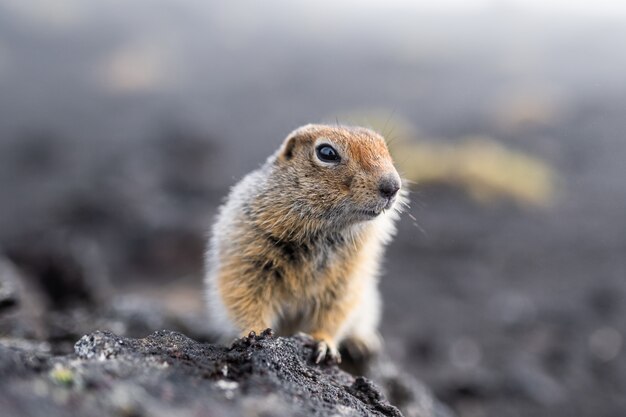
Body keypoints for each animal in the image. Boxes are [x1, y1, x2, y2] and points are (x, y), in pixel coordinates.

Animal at [205, 122, 404, 360]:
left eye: (385, 148)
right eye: (326, 152)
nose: (393, 186)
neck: (325, 232)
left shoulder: (350, 275)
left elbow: (335, 310)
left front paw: (323, 342)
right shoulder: (248, 251)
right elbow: (243, 295)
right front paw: (252, 334)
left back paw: (362, 343)